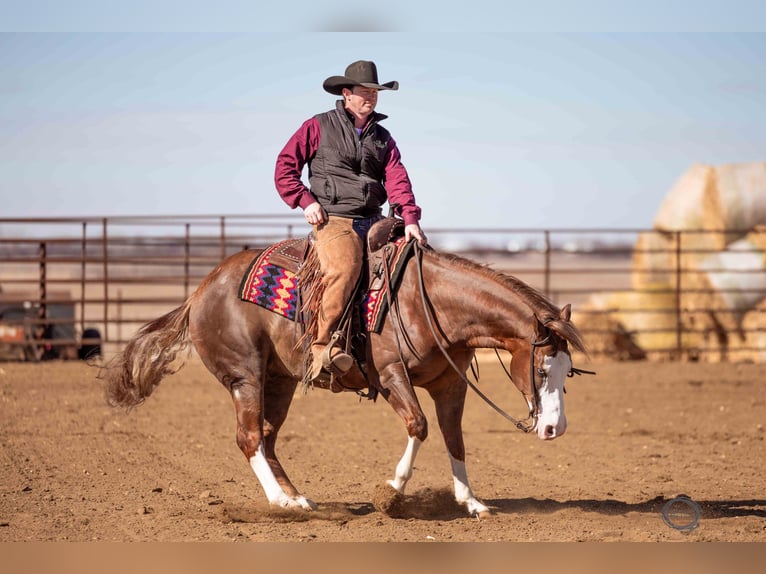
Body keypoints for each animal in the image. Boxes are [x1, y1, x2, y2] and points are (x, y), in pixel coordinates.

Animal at [103, 233, 588, 517]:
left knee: (267, 436)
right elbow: (419, 426)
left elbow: (455, 438)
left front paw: (471, 501)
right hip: (245, 377)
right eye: (541, 367)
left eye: (569, 373)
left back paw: (297, 497)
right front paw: (392, 490)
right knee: (249, 437)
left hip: (279, 380)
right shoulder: (391, 376)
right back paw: (280, 502)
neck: (428, 302)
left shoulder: (449, 384)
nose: (555, 428)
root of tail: (200, 292)